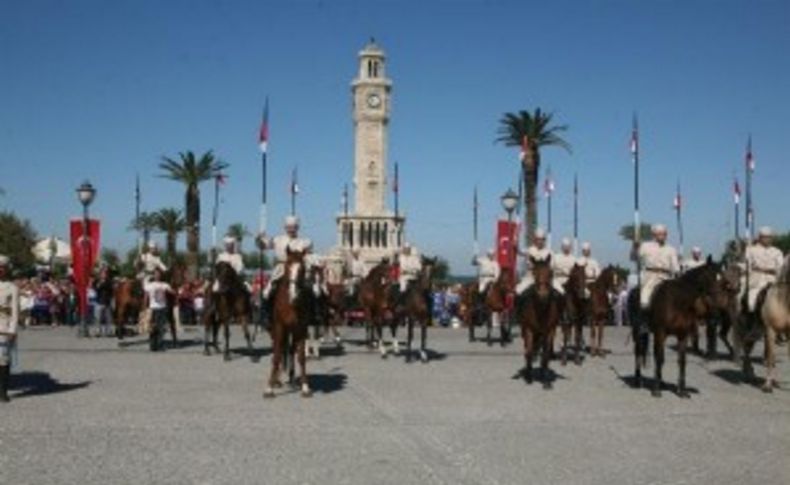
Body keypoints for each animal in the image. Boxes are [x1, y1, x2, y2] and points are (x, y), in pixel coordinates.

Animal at [268, 248, 314, 398]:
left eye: (303, 269)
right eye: (287, 266)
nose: (294, 294)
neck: (291, 304)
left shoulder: (301, 328)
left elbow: (301, 357)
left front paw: (305, 387)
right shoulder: (279, 327)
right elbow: (276, 356)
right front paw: (269, 388)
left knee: (291, 350)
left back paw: (292, 377)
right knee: (280, 349)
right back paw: (277, 380)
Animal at [520, 258, 564, 390]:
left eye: (551, 273)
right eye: (534, 272)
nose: (543, 295)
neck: (541, 308)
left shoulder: (550, 331)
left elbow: (545, 354)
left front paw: (546, 381)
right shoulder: (528, 329)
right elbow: (529, 352)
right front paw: (529, 378)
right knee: (528, 350)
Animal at [644, 260, 724, 396]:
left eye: (721, 279)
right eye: (711, 278)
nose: (717, 316)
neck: (678, 302)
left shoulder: (683, 335)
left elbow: (682, 361)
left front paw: (682, 390)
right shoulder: (661, 332)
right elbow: (660, 358)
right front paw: (656, 390)